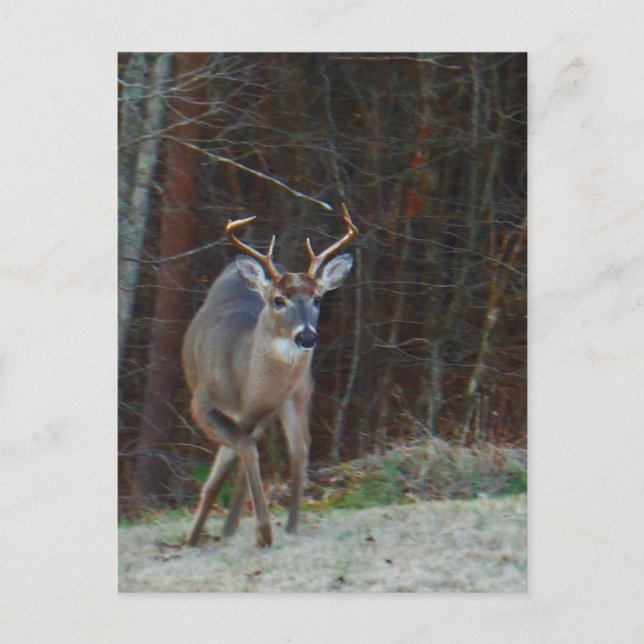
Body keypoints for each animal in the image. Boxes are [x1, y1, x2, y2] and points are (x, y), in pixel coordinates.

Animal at [182, 204, 357, 547]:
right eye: (279, 300)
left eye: (317, 299)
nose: (307, 336)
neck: (242, 383)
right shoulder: (203, 404)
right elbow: (234, 460)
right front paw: (200, 535)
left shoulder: (265, 407)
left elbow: (241, 456)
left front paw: (262, 531)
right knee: (266, 450)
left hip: (298, 393)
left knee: (298, 447)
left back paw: (285, 526)